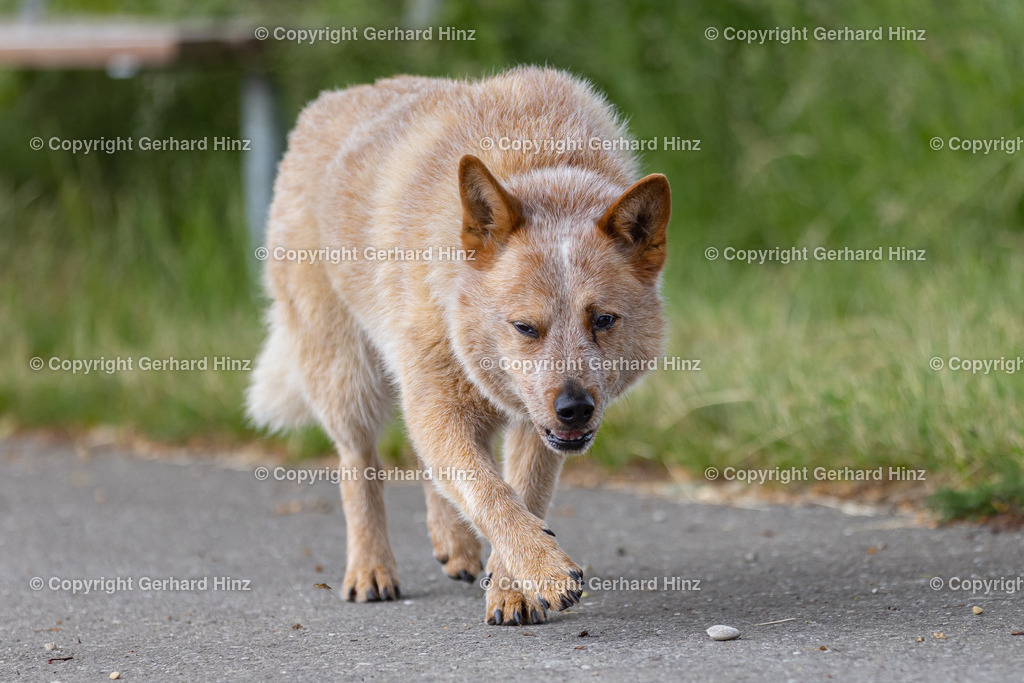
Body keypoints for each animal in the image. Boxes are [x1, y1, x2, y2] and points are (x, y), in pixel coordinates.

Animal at [243, 66, 667, 626]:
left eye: (603, 320)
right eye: (525, 327)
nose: (575, 408)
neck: (539, 166)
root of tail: (325, 104)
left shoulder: (534, 422)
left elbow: (520, 495)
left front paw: (511, 589)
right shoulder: (440, 399)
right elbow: (491, 494)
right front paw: (545, 572)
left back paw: (456, 545)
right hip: (346, 374)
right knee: (359, 463)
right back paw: (370, 569)